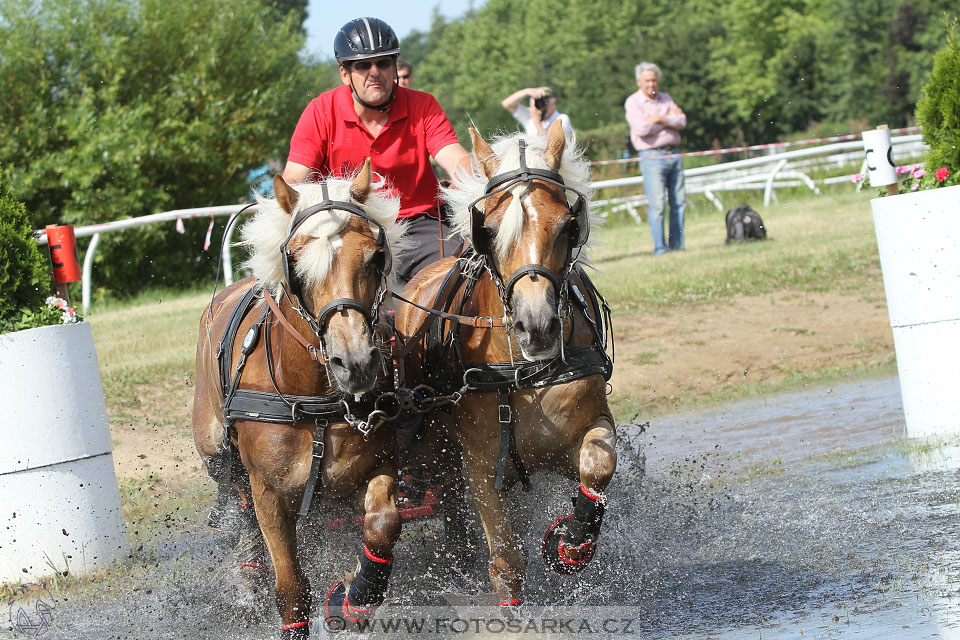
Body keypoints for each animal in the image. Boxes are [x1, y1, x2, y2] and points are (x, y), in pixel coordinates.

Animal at [193, 162, 406, 636]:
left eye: (374, 257)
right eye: (297, 266)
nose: (355, 362)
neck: (314, 402)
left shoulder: (375, 465)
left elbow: (384, 523)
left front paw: (353, 598)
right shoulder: (269, 492)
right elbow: (290, 589)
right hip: (215, 447)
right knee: (236, 498)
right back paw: (249, 570)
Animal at [396, 121, 616, 604]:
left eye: (568, 225)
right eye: (490, 230)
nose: (537, 327)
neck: (522, 373)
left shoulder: (589, 425)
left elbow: (598, 466)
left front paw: (571, 543)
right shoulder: (480, 467)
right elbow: (507, 564)